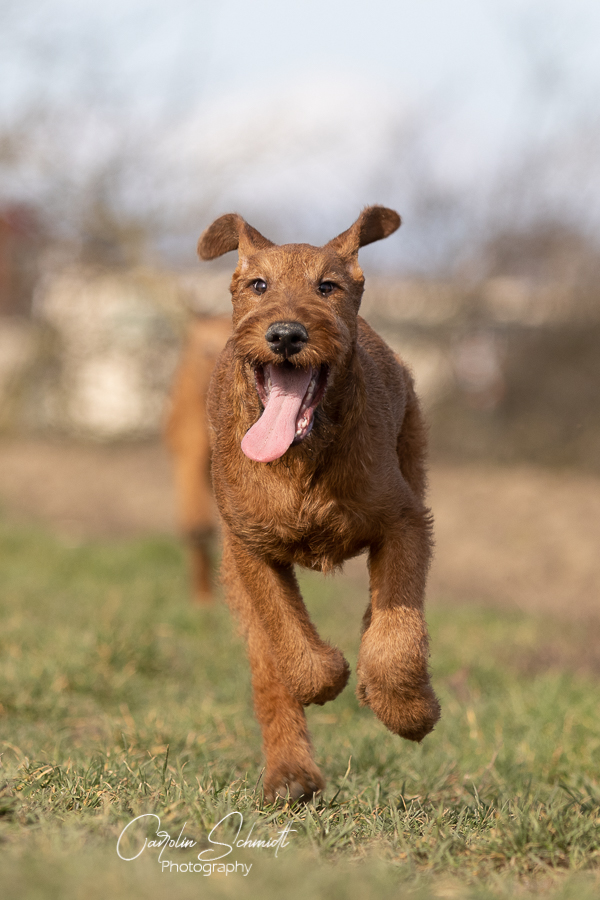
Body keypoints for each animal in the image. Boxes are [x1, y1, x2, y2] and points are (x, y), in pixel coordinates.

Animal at [199, 206, 440, 801]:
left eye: (326, 287)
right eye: (258, 286)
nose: (286, 333)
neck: (301, 459)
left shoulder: (405, 521)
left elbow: (396, 638)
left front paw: (408, 711)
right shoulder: (249, 549)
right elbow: (289, 643)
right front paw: (327, 675)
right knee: (268, 669)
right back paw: (290, 775)